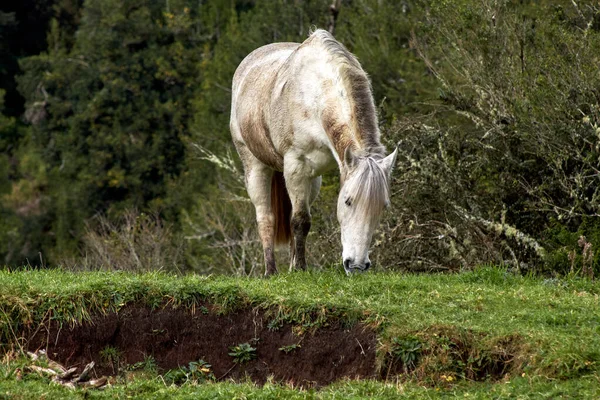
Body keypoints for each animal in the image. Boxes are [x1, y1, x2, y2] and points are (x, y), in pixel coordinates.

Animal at [232, 28, 396, 276]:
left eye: (383, 206)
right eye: (348, 201)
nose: (357, 266)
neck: (316, 96)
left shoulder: (313, 172)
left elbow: (299, 219)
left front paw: (296, 268)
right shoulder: (296, 166)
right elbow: (300, 220)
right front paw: (300, 268)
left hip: (312, 179)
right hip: (254, 166)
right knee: (265, 217)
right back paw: (270, 271)